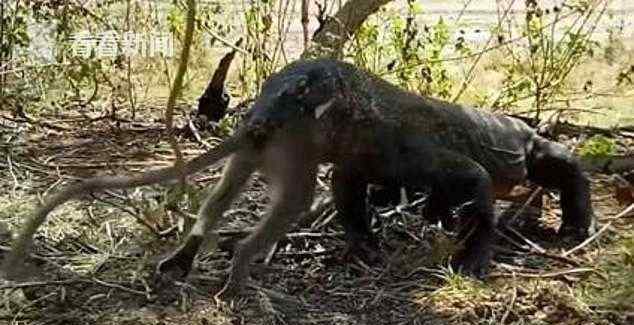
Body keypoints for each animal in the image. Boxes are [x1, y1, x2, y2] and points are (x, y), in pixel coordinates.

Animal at [1, 57, 592, 296]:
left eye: (303, 91)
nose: (258, 119)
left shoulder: (410, 155)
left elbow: (470, 188)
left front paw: (470, 261)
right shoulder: (369, 162)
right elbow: (353, 199)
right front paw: (368, 248)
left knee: (559, 163)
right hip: (267, 158)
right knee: (240, 206)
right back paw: (217, 271)